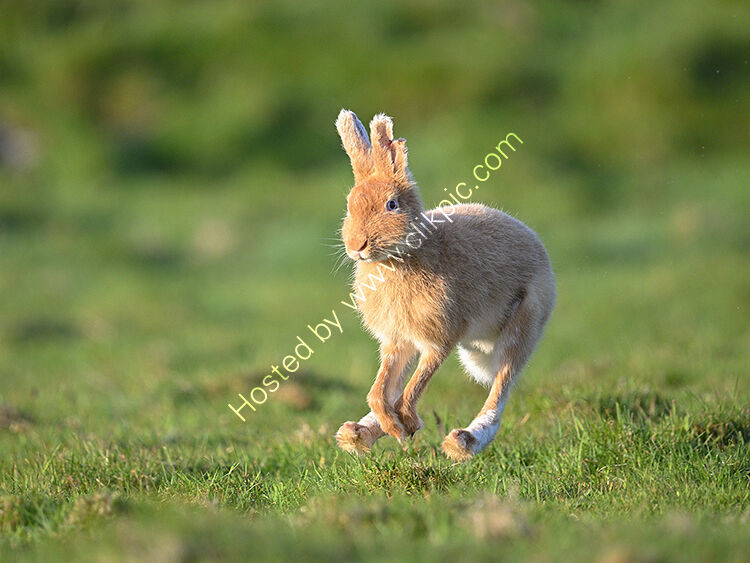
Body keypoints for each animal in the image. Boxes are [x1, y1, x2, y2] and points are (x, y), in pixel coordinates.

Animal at [333, 109, 556, 462]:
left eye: (392, 205)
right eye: (349, 205)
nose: (357, 246)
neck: (403, 256)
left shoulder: (439, 338)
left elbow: (413, 387)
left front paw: (407, 425)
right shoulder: (397, 341)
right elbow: (379, 392)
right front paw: (394, 427)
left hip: (524, 321)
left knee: (500, 388)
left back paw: (464, 441)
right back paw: (355, 434)